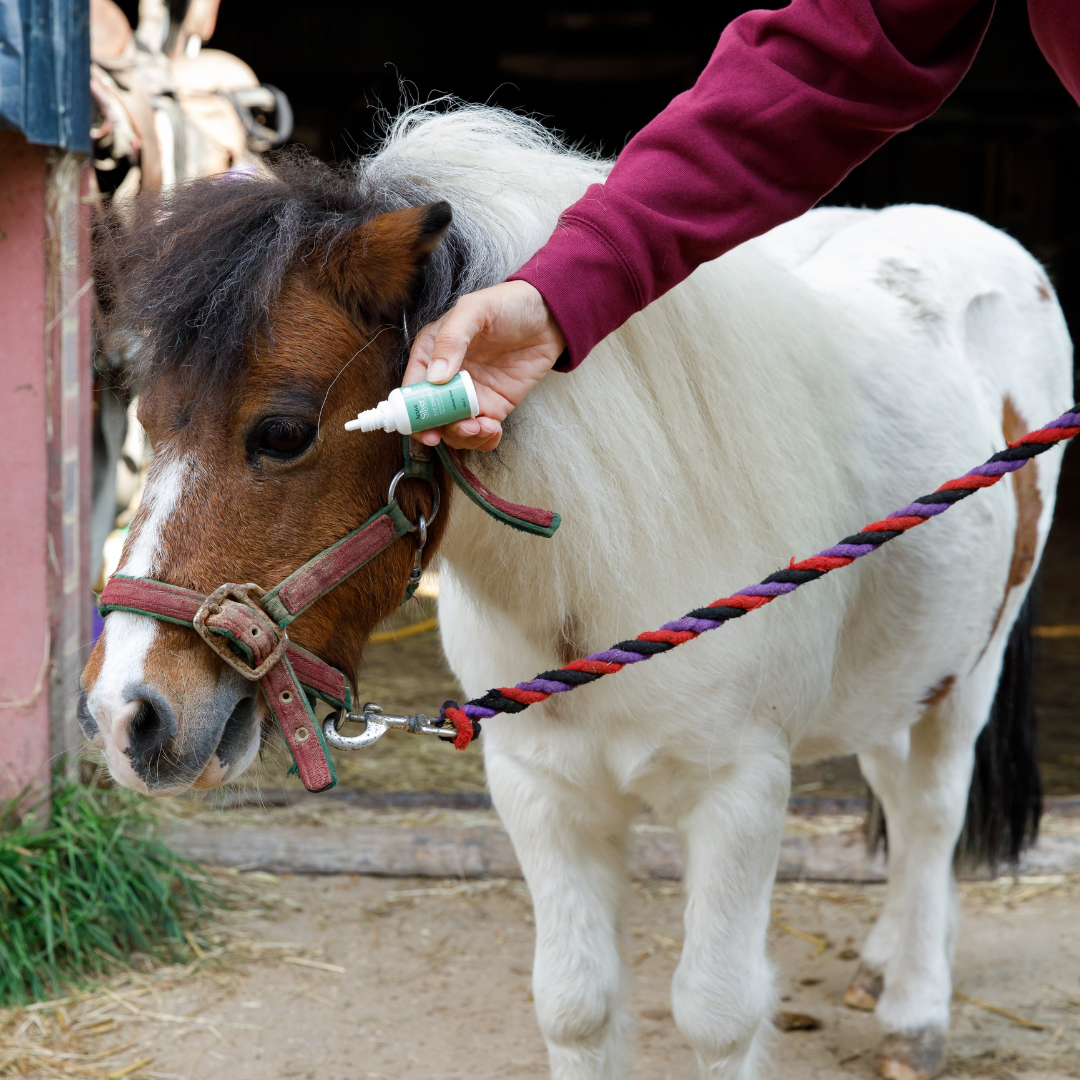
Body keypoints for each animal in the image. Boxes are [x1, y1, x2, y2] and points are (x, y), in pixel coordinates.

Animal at [84, 107, 1071, 1080]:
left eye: (283, 432)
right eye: (145, 419)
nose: (127, 714)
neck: (608, 582)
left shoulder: (741, 790)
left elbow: (717, 1013)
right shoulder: (539, 787)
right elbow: (576, 1005)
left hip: (972, 669)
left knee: (930, 810)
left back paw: (915, 1009)